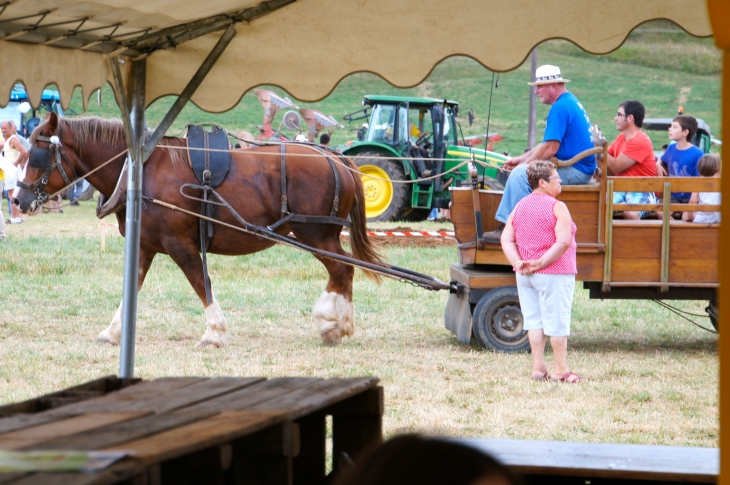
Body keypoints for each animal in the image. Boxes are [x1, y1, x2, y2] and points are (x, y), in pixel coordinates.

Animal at [15, 113, 382, 348]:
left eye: (38, 152)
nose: (18, 199)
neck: (142, 170)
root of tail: (336, 157)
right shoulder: (145, 245)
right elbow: (131, 287)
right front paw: (112, 332)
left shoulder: (180, 244)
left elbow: (200, 283)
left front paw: (214, 333)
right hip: (322, 236)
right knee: (344, 270)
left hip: (315, 235)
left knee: (342, 269)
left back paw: (333, 324)